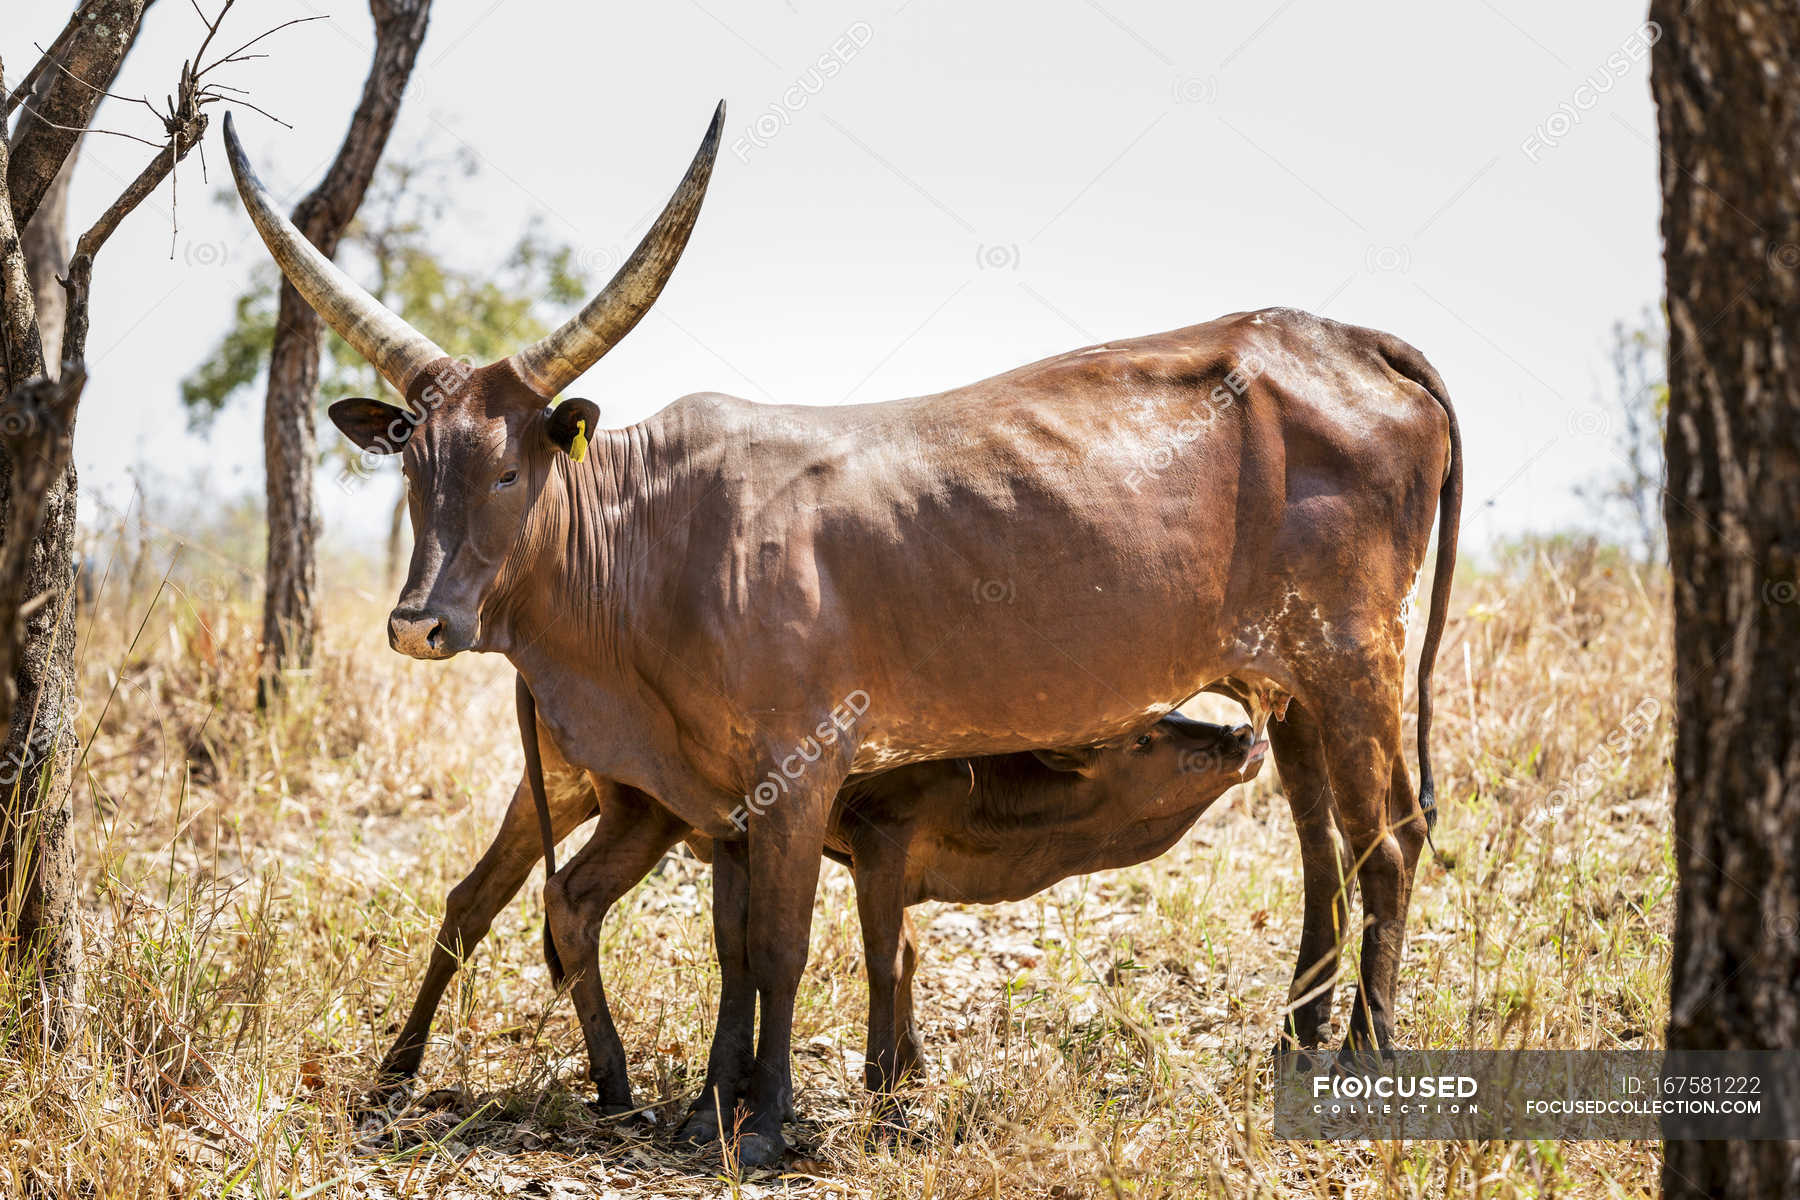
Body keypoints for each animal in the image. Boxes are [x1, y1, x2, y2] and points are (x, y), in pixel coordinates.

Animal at [228, 98, 1461, 1165]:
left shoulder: (801, 772)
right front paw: (710, 1109)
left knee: (1389, 838)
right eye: (414, 468)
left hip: (1357, 655)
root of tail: (1352, 339)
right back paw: (1294, 1048)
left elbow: (782, 946)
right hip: (1288, 680)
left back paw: (1366, 1059)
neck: (656, 540)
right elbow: (735, 944)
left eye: (506, 470)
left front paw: (766, 1122)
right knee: (1322, 848)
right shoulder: (716, 796)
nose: (419, 622)